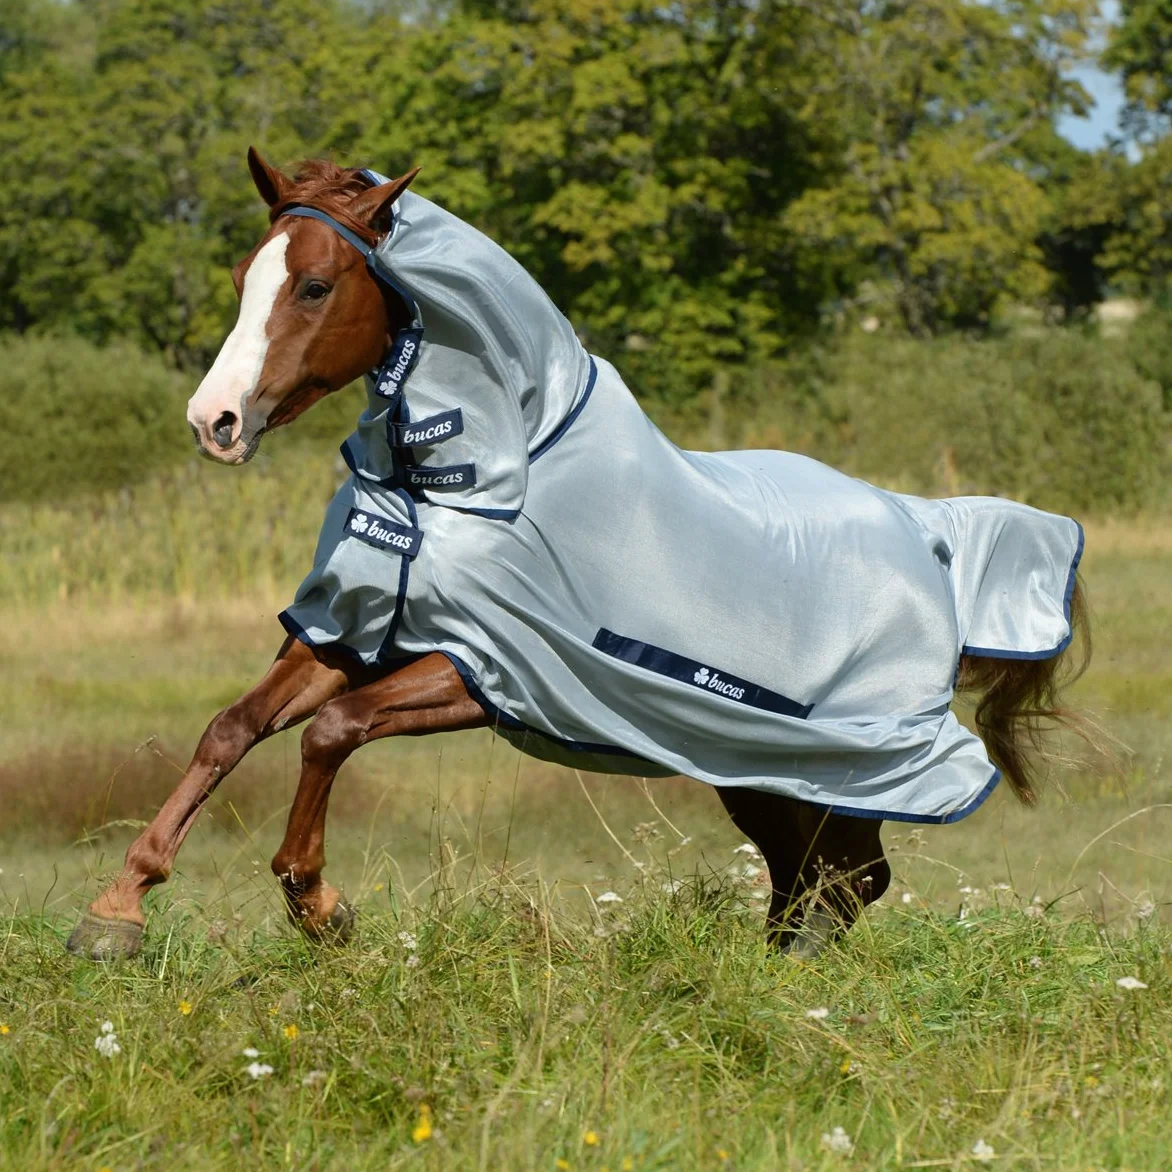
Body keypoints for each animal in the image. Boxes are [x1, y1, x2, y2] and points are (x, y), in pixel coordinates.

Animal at [66, 149, 1089, 962]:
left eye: (315, 286)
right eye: (246, 275)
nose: (214, 421)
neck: (471, 476)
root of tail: (929, 529)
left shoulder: (486, 668)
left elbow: (332, 733)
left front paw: (318, 905)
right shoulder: (349, 634)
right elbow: (232, 729)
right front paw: (116, 910)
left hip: (835, 766)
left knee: (841, 878)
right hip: (759, 768)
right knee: (819, 877)